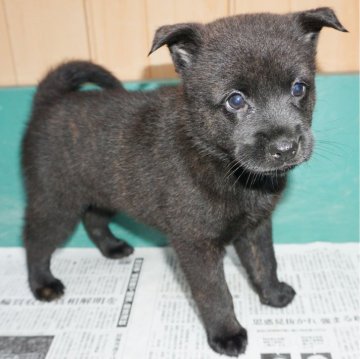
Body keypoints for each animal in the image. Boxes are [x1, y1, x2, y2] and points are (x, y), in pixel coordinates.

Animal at [21, 7, 346, 358]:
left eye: (299, 88)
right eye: (235, 100)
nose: (285, 148)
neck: (222, 163)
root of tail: (50, 102)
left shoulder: (255, 227)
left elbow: (265, 262)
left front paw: (273, 295)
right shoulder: (195, 244)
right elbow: (215, 293)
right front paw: (227, 335)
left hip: (106, 192)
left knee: (93, 218)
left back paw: (113, 247)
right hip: (55, 202)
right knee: (36, 241)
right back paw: (43, 284)